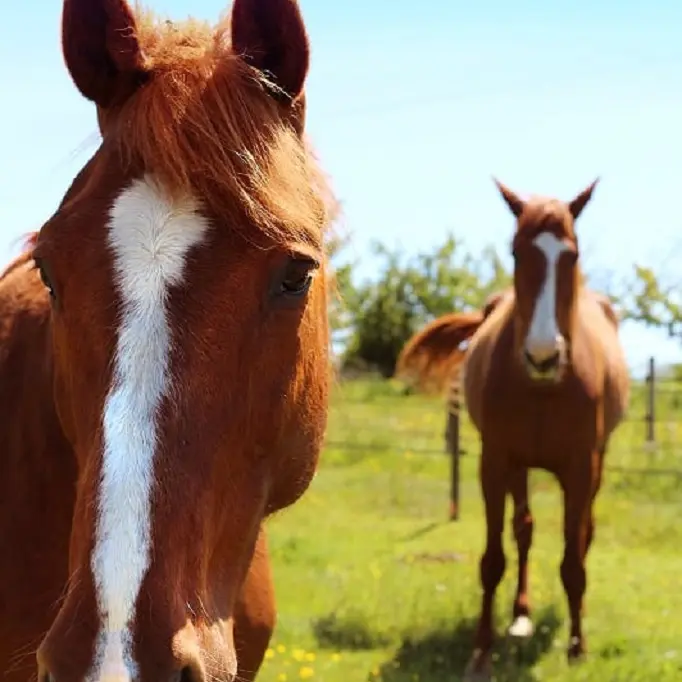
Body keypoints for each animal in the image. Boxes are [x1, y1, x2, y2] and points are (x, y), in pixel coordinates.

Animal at [397, 179, 630, 680]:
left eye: (572, 256)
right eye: (517, 252)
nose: (543, 355)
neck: (542, 386)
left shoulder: (582, 467)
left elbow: (573, 560)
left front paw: (577, 646)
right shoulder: (496, 460)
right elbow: (493, 559)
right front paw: (481, 651)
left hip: (595, 464)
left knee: (582, 535)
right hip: (519, 467)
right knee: (523, 530)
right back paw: (520, 616)